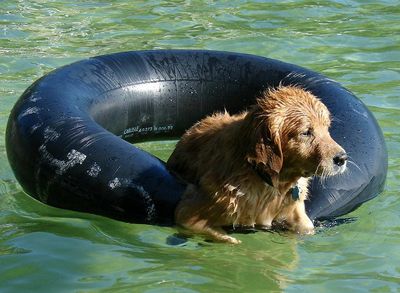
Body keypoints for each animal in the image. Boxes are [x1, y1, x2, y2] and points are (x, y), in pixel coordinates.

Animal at [167, 84, 348, 242]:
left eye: (327, 128)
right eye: (306, 132)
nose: (342, 158)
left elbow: (306, 226)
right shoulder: (188, 212)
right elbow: (217, 233)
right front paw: (231, 240)